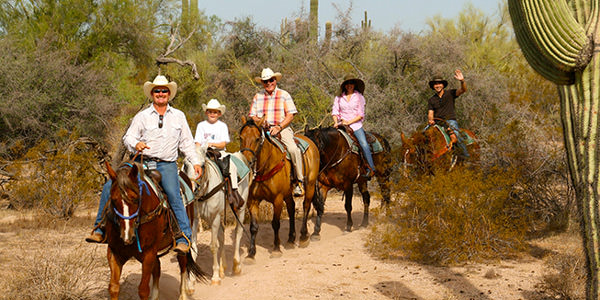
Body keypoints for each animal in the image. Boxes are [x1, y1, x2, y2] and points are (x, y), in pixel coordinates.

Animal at [103, 162, 206, 300]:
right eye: (113, 200)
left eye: (136, 199)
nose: (127, 236)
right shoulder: (115, 252)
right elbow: (114, 288)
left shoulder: (148, 253)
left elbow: (143, 290)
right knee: (158, 268)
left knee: (182, 265)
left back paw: (183, 294)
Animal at [182, 146, 250, 288]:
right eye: (185, 165)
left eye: (202, 165)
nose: (191, 189)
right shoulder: (196, 220)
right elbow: (194, 248)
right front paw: (191, 283)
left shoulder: (215, 218)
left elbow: (213, 246)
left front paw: (215, 277)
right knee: (222, 235)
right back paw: (223, 268)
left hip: (240, 210)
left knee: (238, 233)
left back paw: (236, 266)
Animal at [239, 116, 324, 260]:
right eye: (241, 137)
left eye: (257, 138)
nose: (247, 161)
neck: (265, 168)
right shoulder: (253, 201)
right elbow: (253, 227)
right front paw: (251, 254)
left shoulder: (277, 199)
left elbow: (275, 223)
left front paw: (276, 249)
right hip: (288, 193)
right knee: (291, 208)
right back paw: (291, 239)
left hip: (310, 186)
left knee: (306, 206)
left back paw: (303, 237)